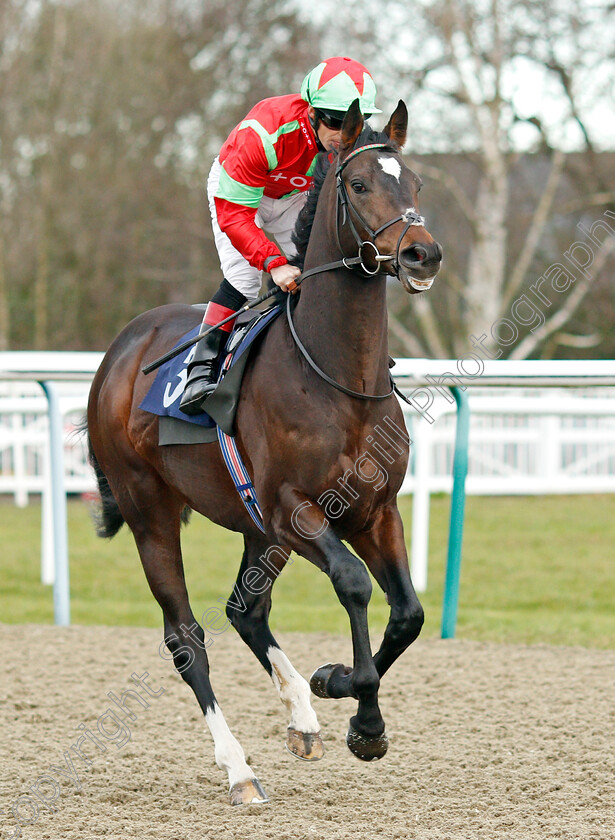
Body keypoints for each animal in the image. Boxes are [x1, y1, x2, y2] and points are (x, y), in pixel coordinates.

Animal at [86, 101, 442, 804]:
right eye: (360, 184)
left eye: (414, 181)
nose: (423, 252)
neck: (336, 379)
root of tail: (121, 350)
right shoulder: (293, 509)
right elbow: (354, 583)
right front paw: (360, 710)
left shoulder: (375, 510)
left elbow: (409, 613)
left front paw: (333, 688)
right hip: (151, 511)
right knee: (187, 635)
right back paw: (239, 769)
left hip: (254, 526)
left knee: (245, 611)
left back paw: (302, 717)